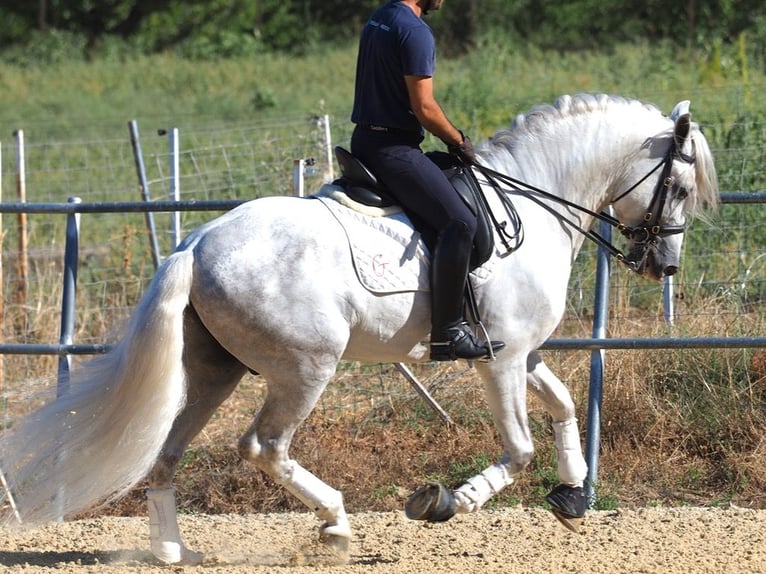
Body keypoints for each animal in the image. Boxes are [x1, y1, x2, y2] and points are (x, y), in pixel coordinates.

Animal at [1, 94, 720, 568]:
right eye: (681, 187)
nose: (663, 265)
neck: (533, 199)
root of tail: (197, 244)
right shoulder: (499, 358)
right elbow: (517, 450)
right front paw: (445, 501)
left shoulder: (521, 351)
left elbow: (567, 405)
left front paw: (572, 497)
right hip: (305, 368)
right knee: (264, 446)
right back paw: (337, 525)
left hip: (212, 371)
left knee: (169, 452)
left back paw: (173, 549)